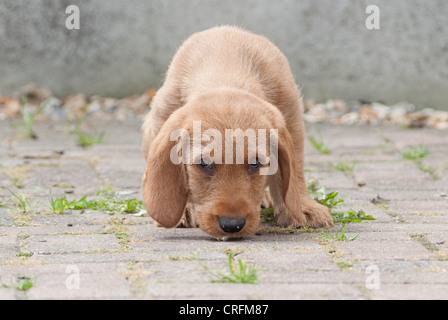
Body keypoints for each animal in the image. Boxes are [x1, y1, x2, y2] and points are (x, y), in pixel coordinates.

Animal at [141, 25, 332, 240]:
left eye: (256, 162)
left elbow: (294, 172)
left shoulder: (292, 121)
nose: (232, 225)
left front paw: (302, 207)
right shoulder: (160, 120)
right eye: (204, 163)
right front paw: (184, 209)